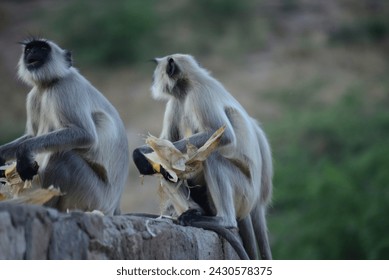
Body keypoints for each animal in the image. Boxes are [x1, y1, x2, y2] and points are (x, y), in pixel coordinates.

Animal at [0, 38, 130, 215]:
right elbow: (33, 135)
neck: (48, 84)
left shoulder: (65, 87)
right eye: (29, 49)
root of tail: (114, 207)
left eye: (42, 48)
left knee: (61, 156)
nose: (32, 52)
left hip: (93, 198)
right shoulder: (34, 95)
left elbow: (84, 134)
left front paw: (23, 151)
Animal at [133, 53, 272, 260]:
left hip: (244, 193)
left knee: (212, 159)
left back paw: (224, 220)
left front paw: (142, 154)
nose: (151, 79)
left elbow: (222, 135)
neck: (189, 83)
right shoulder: (176, 101)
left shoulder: (199, 95)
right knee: (167, 170)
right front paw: (143, 153)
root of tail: (255, 203)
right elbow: (165, 144)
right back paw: (194, 212)